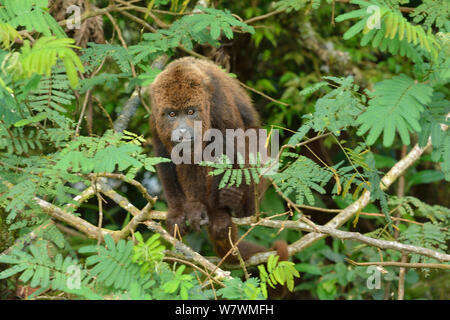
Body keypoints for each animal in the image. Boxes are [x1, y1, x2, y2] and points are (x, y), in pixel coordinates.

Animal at [149, 57, 286, 262]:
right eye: (172, 114)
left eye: (190, 112)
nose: (182, 132)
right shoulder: (155, 116)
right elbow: (164, 155)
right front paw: (177, 211)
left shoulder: (219, 104)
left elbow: (230, 146)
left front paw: (220, 216)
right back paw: (196, 206)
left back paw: (237, 205)